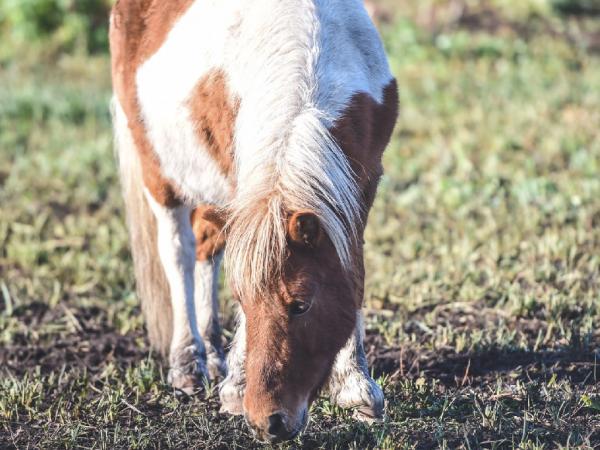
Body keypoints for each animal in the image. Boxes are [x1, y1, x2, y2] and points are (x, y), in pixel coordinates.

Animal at [109, 0, 398, 442]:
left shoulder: (364, 182)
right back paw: (189, 362)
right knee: (178, 254)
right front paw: (237, 388)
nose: (269, 423)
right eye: (243, 301)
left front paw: (357, 388)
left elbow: (353, 271)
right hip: (159, 172)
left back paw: (213, 353)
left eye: (301, 305)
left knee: (205, 251)